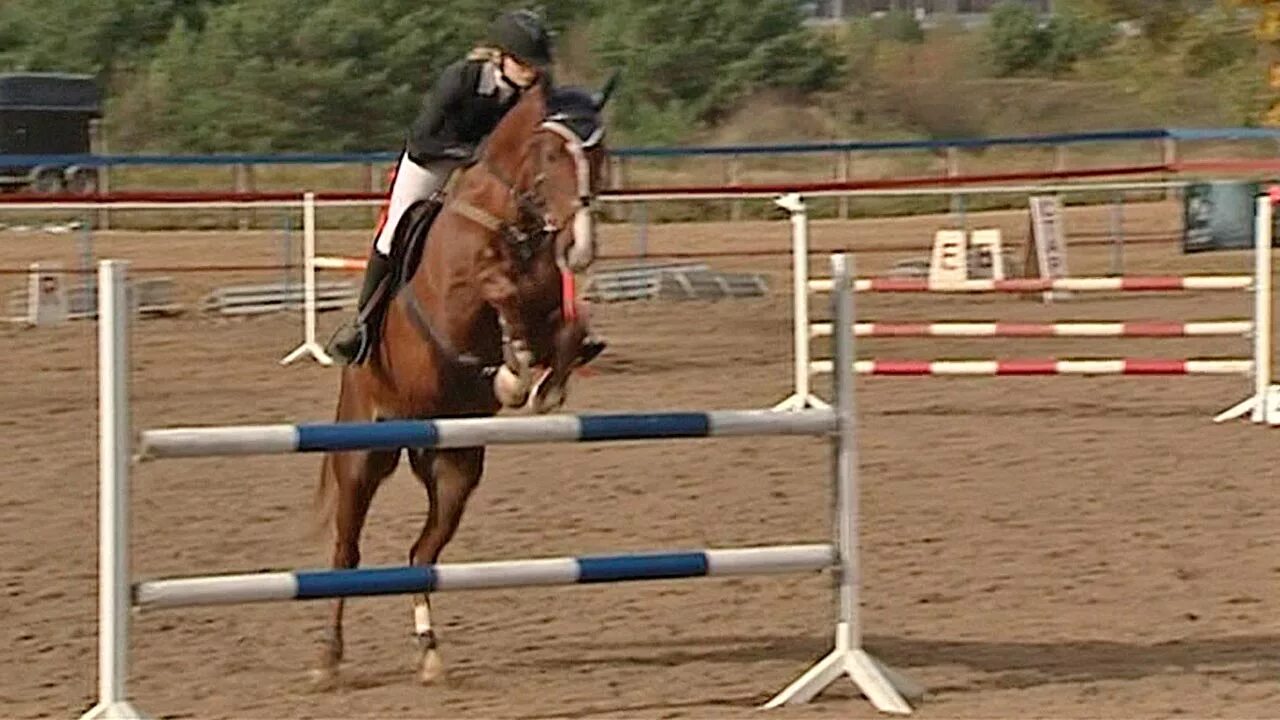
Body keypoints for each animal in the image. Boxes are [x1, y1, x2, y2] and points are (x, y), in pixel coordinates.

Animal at [309, 78, 609, 681]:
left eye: (601, 154)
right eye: (550, 154)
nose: (581, 247)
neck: (509, 221)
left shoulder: (549, 302)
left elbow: (564, 327)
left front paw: (542, 384)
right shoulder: (458, 299)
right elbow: (499, 290)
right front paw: (514, 374)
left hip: (453, 467)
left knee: (421, 556)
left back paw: (429, 651)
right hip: (362, 457)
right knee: (346, 555)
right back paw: (328, 658)